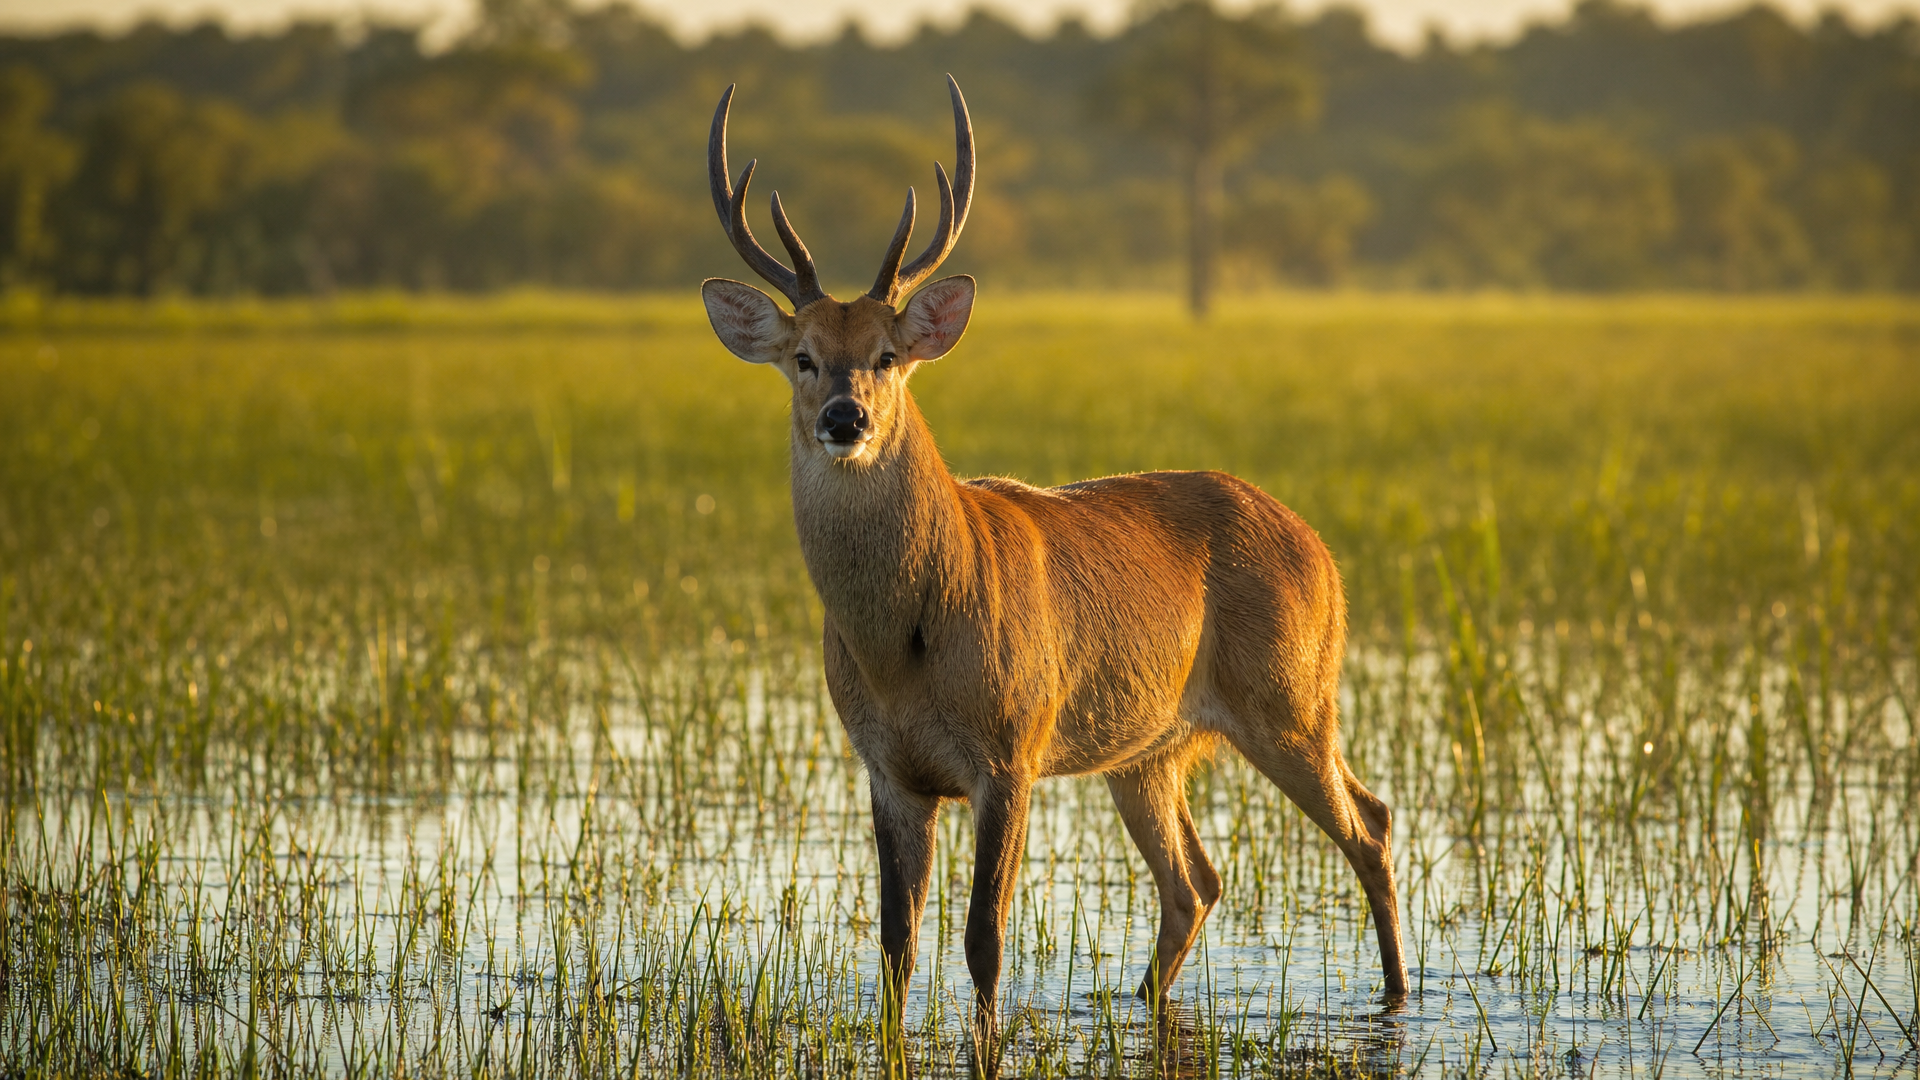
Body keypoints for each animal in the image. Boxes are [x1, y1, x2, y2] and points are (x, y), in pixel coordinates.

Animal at [699, 76, 1408, 1037]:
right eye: (802, 357)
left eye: (888, 354)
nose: (846, 418)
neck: (906, 646)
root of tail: (1321, 550)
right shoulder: (887, 767)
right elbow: (896, 943)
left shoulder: (1011, 750)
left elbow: (983, 940)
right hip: (1151, 748)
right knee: (1195, 880)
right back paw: (1143, 1001)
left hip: (1291, 698)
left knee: (1368, 824)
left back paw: (1399, 997)